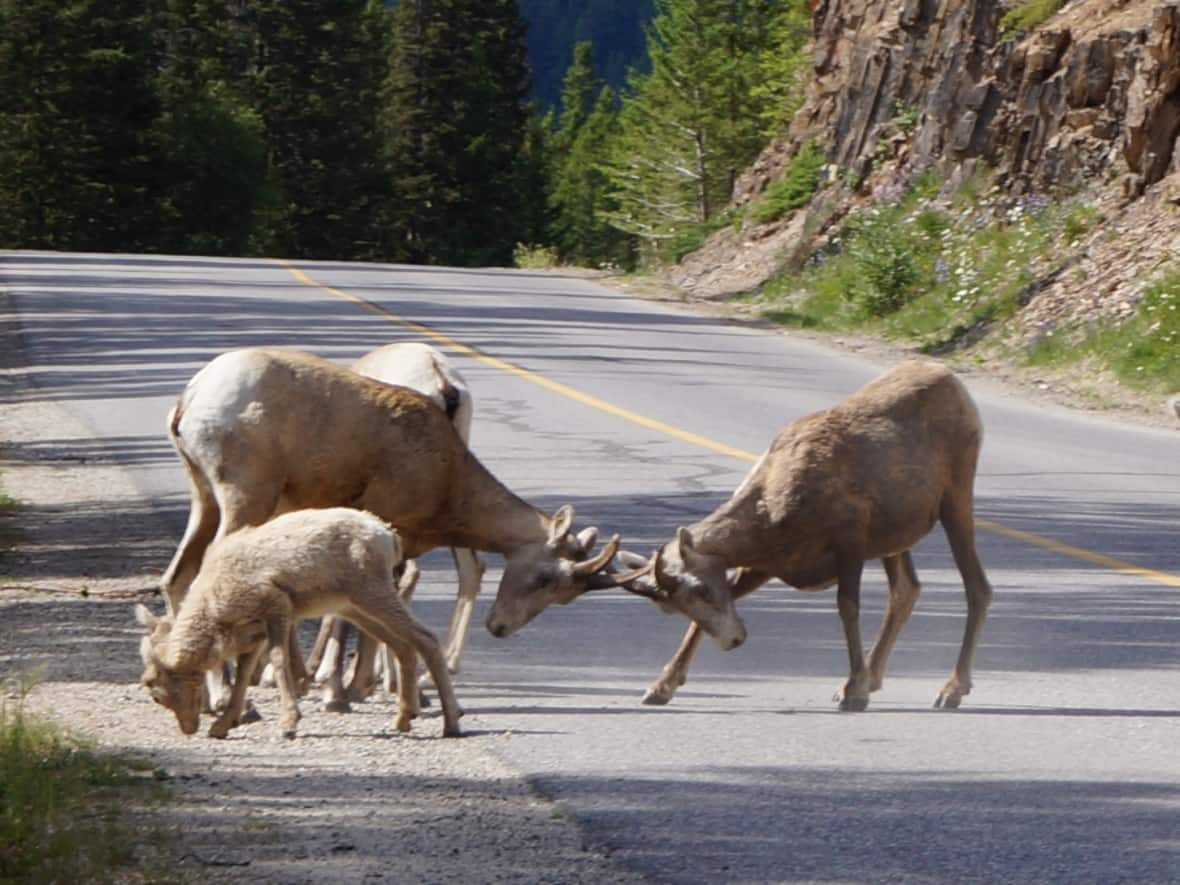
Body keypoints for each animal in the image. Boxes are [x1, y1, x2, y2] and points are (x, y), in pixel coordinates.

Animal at [136, 505, 460, 741]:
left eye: (156, 695)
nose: (188, 729)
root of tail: (387, 536)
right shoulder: (254, 635)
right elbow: (243, 676)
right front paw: (222, 727)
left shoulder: (277, 610)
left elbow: (279, 662)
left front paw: (288, 725)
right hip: (356, 609)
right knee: (403, 646)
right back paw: (402, 721)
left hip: (374, 596)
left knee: (426, 639)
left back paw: (451, 724)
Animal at [618, 361, 995, 712]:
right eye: (670, 607)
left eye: (703, 590)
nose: (735, 640)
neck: (775, 512)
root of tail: (951, 380)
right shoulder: (767, 565)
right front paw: (660, 688)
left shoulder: (850, 540)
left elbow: (848, 607)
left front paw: (853, 691)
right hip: (896, 538)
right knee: (906, 589)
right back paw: (878, 678)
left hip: (955, 500)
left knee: (977, 587)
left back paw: (951, 689)